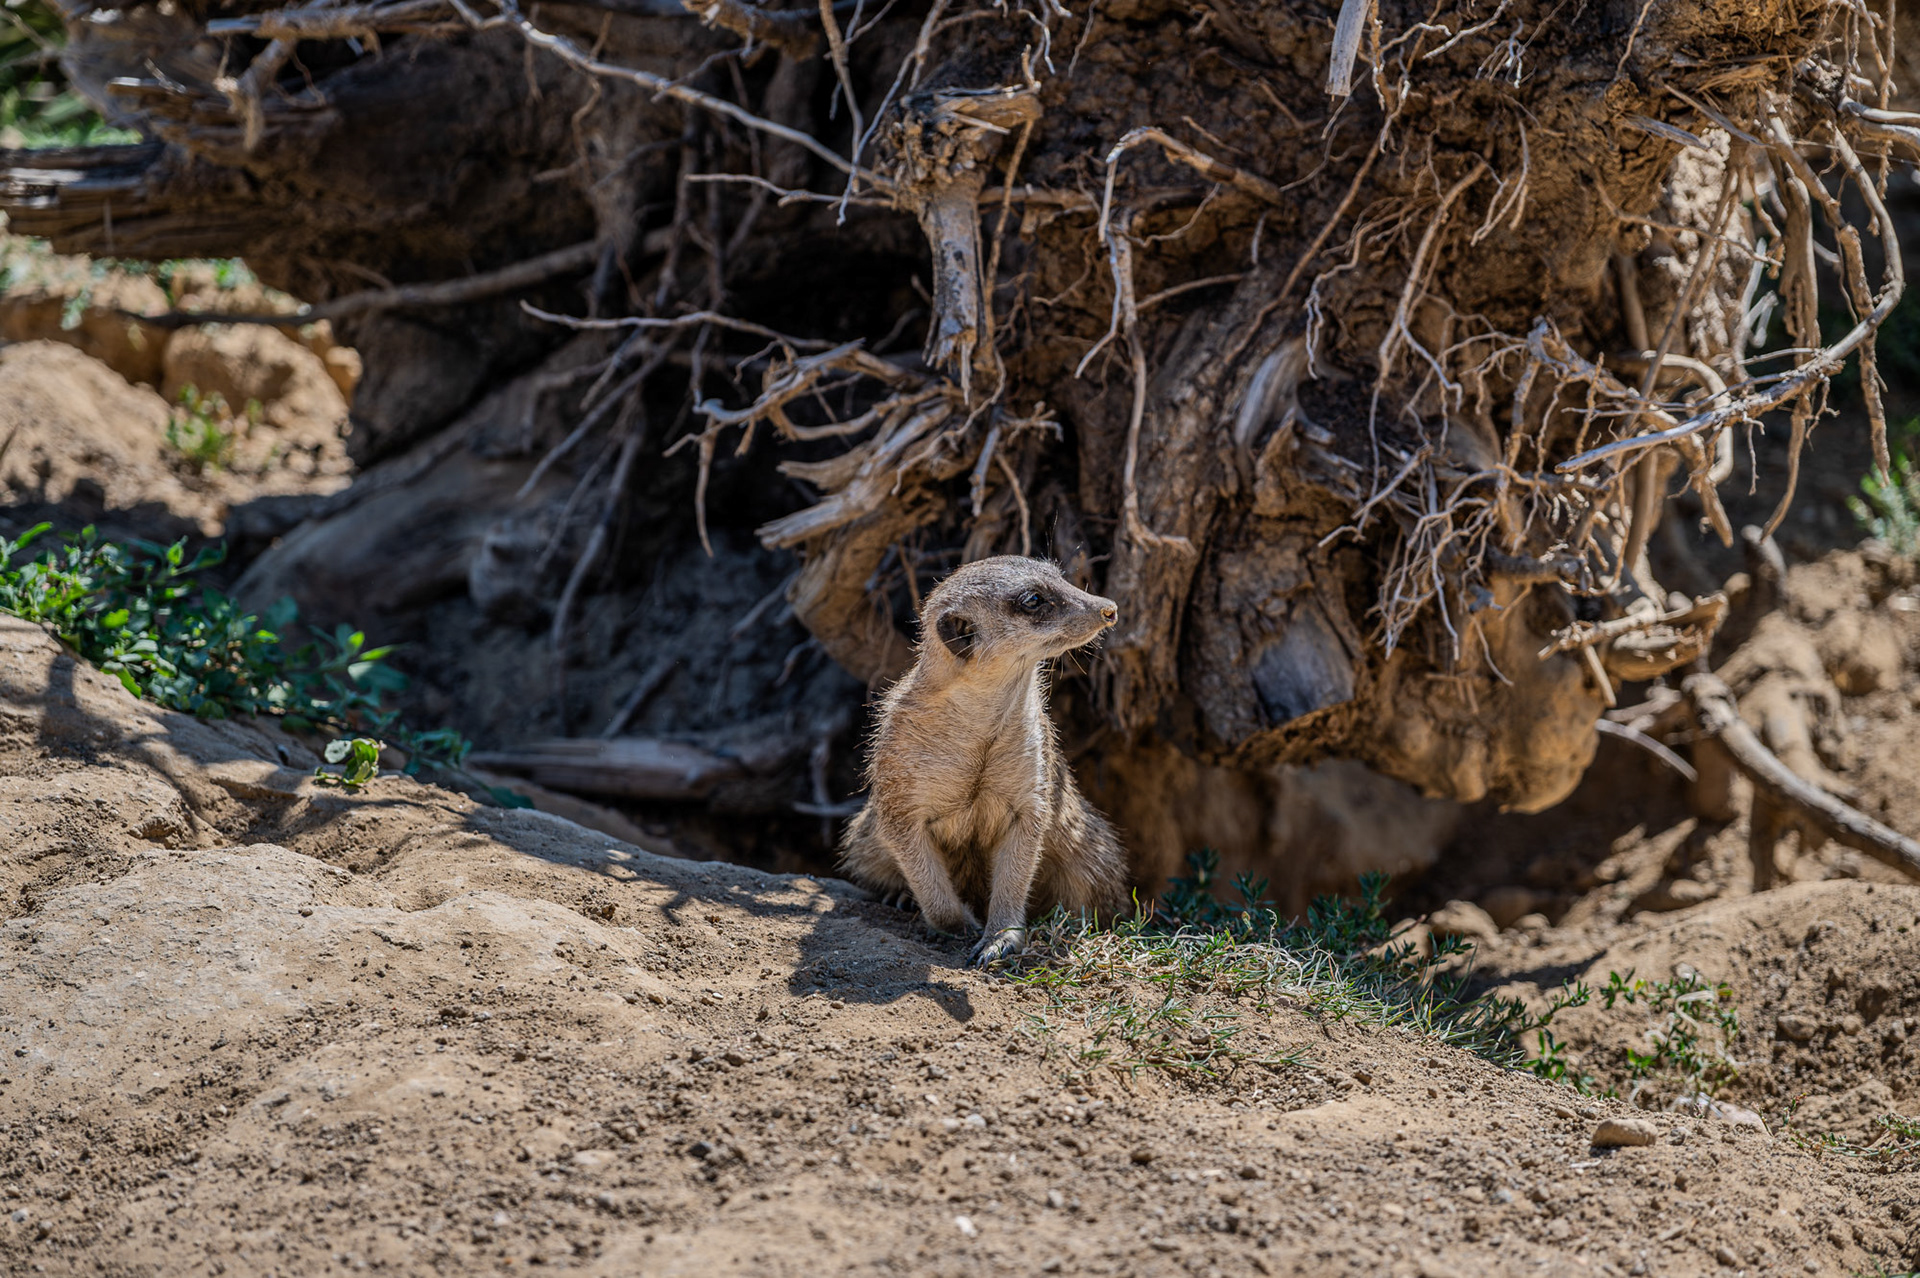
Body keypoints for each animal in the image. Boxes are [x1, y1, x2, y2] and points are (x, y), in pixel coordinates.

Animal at [838, 555, 1128, 965]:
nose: (1108, 608)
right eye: (1033, 600)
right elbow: (905, 839)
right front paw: (958, 920)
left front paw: (1001, 936)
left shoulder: (1033, 769)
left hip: (1091, 851)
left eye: (1059, 575)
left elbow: (1023, 847)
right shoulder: (899, 769)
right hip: (865, 841)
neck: (984, 726)